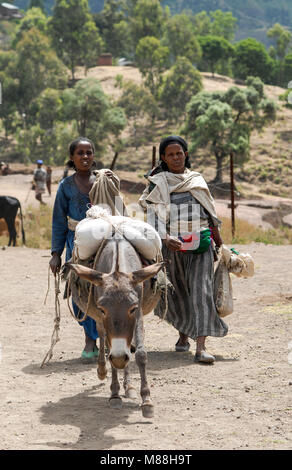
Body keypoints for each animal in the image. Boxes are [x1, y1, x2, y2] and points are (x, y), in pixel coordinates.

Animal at [65, 235, 164, 418]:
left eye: (132, 308)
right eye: (103, 309)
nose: (119, 358)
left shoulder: (139, 314)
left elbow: (140, 354)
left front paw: (146, 401)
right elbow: (109, 349)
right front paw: (115, 394)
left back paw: (129, 386)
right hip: (98, 321)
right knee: (102, 336)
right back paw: (102, 370)